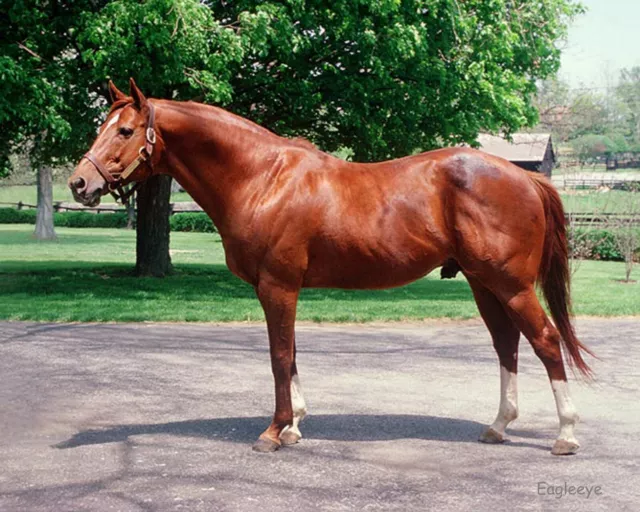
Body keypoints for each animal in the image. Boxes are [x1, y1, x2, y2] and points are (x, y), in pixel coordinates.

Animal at [67, 79, 592, 456]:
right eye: (101, 126)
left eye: (125, 131)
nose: (79, 183)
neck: (261, 177)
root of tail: (523, 176)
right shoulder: (282, 288)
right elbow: (292, 353)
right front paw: (294, 426)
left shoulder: (277, 286)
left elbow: (279, 356)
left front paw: (274, 431)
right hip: (485, 285)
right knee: (507, 344)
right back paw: (498, 426)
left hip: (511, 285)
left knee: (546, 342)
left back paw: (565, 436)